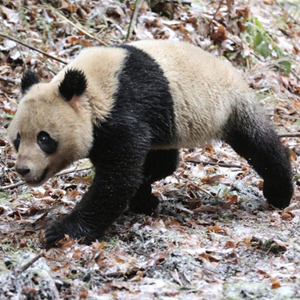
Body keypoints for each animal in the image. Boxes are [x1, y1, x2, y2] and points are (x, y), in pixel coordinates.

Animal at [7, 39, 292, 246]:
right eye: (17, 140)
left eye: (44, 138)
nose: (23, 169)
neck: (93, 92)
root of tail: (234, 71)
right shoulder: (107, 129)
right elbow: (125, 171)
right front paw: (143, 200)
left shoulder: (125, 110)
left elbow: (117, 179)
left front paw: (61, 232)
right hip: (173, 123)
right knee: (166, 160)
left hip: (229, 105)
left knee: (259, 144)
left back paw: (279, 192)